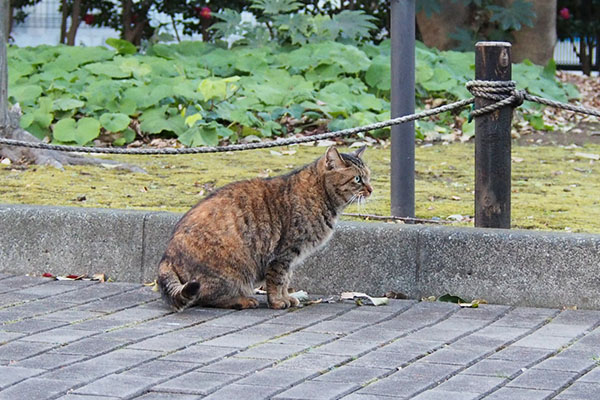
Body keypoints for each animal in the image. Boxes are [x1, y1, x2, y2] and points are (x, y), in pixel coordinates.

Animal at [156, 147, 370, 312]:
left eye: (368, 177)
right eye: (357, 179)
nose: (371, 189)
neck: (321, 195)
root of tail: (166, 257)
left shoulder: (289, 258)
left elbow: (286, 279)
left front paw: (286, 298)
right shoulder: (283, 254)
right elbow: (278, 280)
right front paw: (277, 302)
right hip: (229, 271)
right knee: (206, 296)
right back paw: (242, 300)